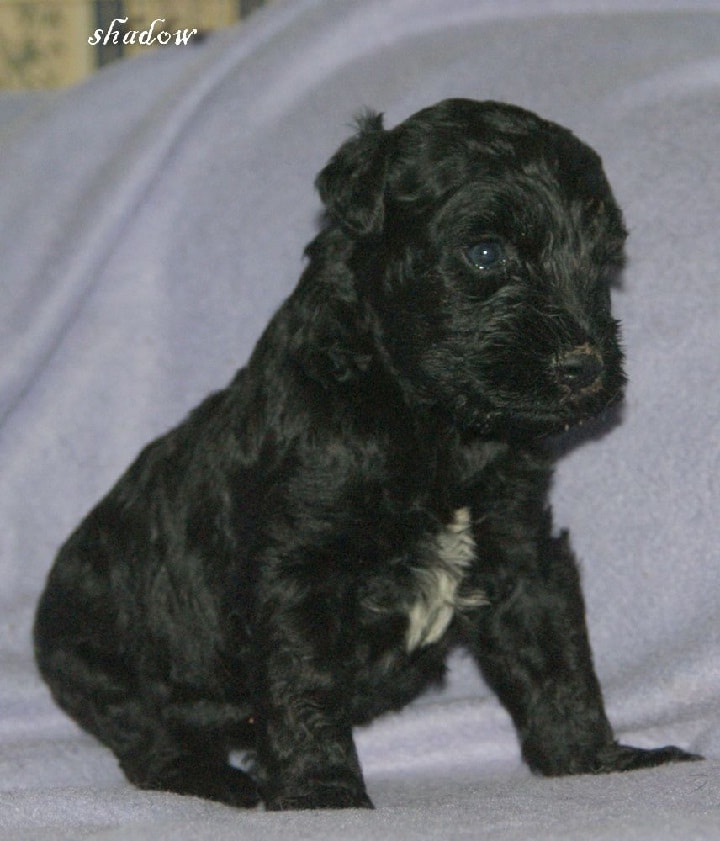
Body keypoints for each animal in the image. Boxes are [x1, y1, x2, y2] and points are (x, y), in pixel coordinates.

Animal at [33, 97, 696, 808]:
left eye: (603, 260)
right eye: (485, 252)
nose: (586, 367)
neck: (430, 422)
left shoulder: (520, 552)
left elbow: (556, 660)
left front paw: (596, 759)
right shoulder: (296, 568)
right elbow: (302, 684)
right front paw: (323, 794)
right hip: (100, 663)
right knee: (147, 739)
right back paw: (214, 777)